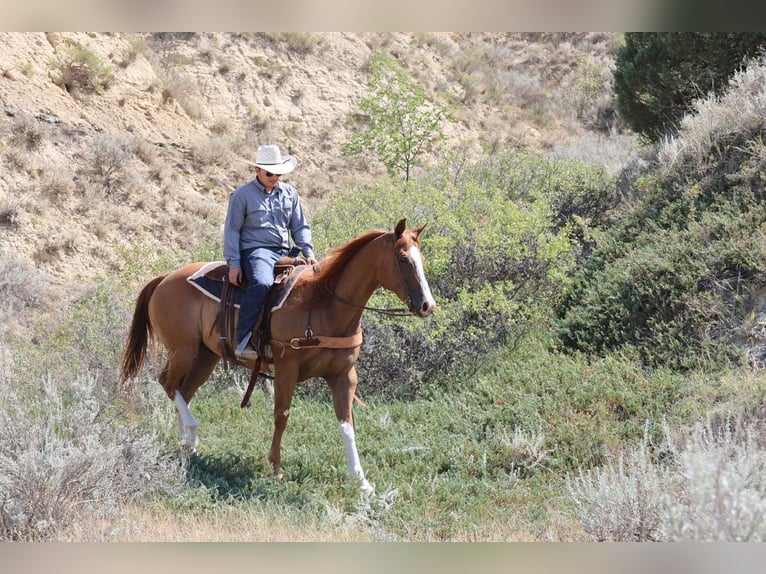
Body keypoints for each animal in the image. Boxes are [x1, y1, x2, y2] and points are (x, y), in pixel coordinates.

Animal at [119, 218, 435, 493]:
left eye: (421, 259)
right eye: (403, 259)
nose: (427, 305)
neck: (323, 306)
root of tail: (164, 279)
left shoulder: (344, 376)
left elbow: (347, 425)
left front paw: (361, 481)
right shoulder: (286, 369)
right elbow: (282, 416)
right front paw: (276, 468)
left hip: (205, 356)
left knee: (183, 391)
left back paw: (188, 446)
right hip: (182, 350)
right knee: (168, 383)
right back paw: (192, 433)